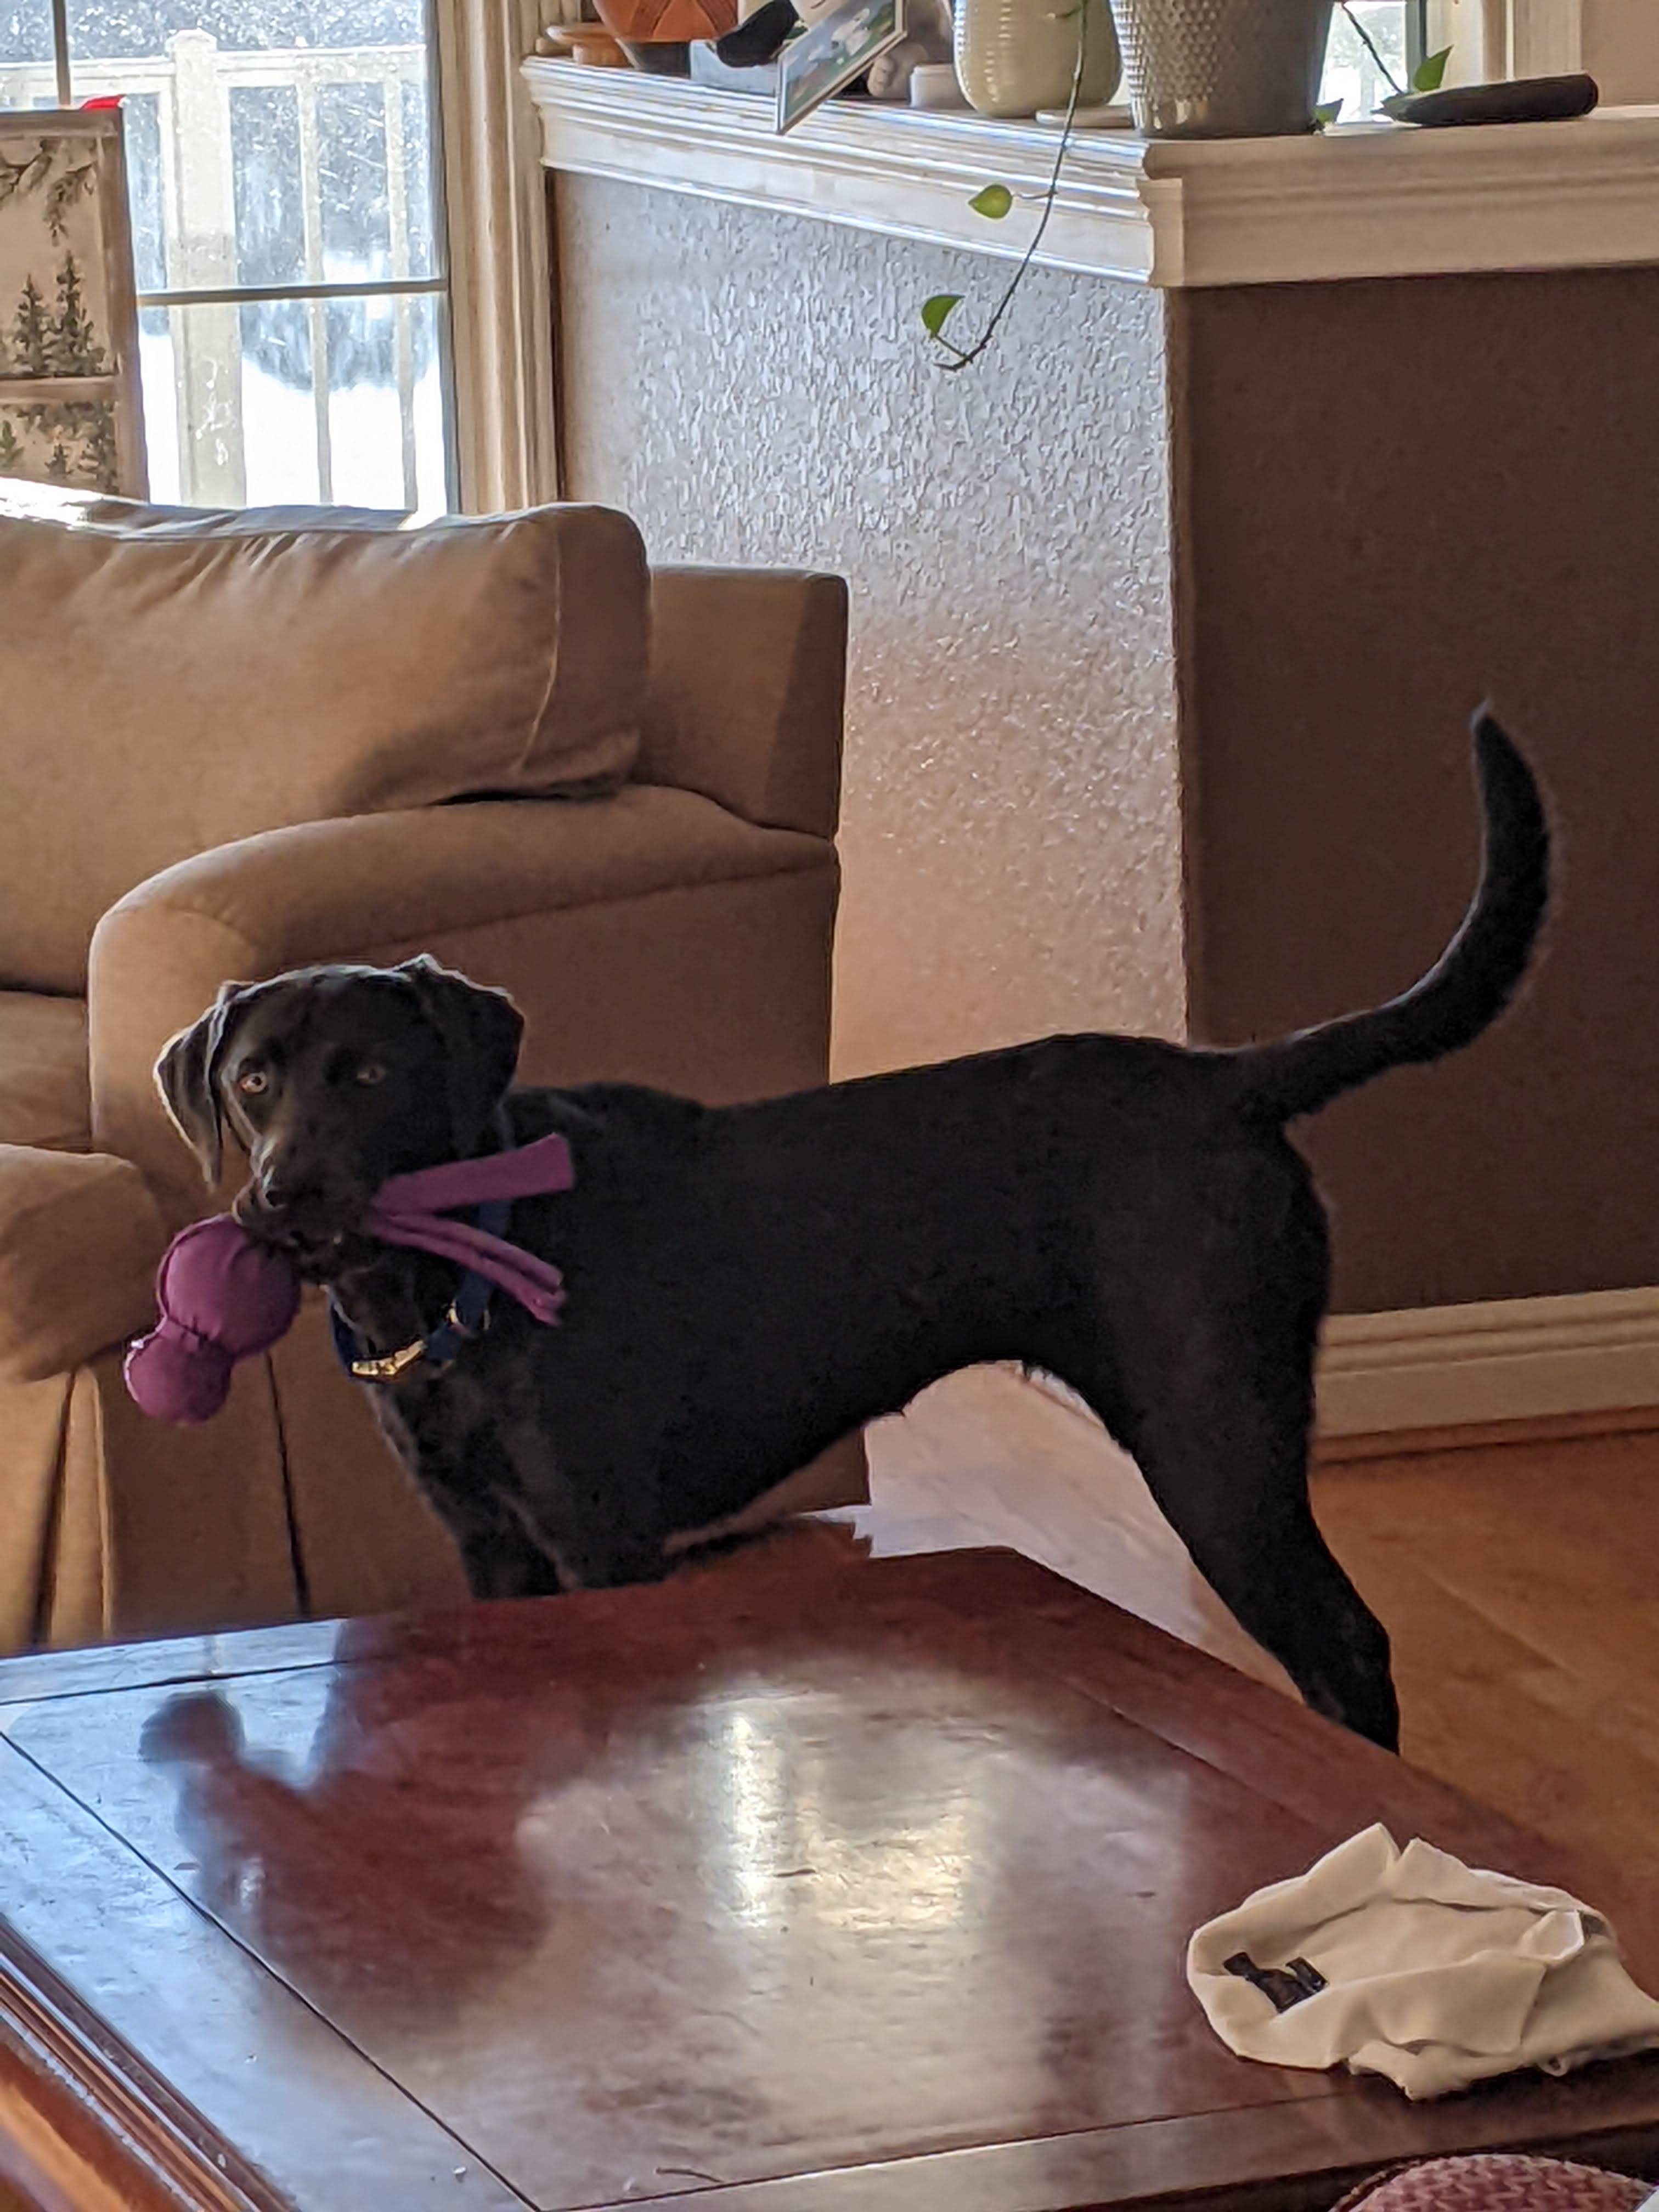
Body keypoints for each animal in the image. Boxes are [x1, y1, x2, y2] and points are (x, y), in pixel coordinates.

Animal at [162, 708, 1557, 1743]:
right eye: (254, 1079)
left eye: (367, 1074)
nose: (282, 1195)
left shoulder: (600, 1536)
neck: (449, 1276)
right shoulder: (488, 1547)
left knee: (1346, 1641)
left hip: (1214, 1432)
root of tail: (1230, 1079)